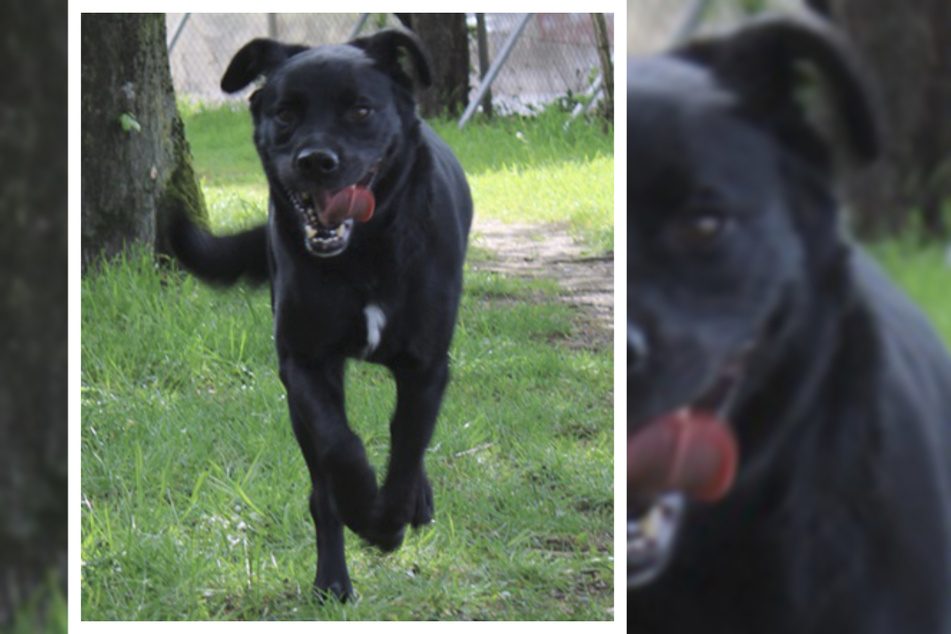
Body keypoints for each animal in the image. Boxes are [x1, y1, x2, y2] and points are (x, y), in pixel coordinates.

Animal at [170, 29, 472, 600]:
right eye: (286, 112)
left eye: (361, 109)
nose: (315, 160)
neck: (365, 255)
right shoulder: (305, 360)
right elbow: (338, 446)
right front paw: (363, 508)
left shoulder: (425, 365)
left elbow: (407, 446)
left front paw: (390, 519)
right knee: (322, 481)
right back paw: (333, 579)